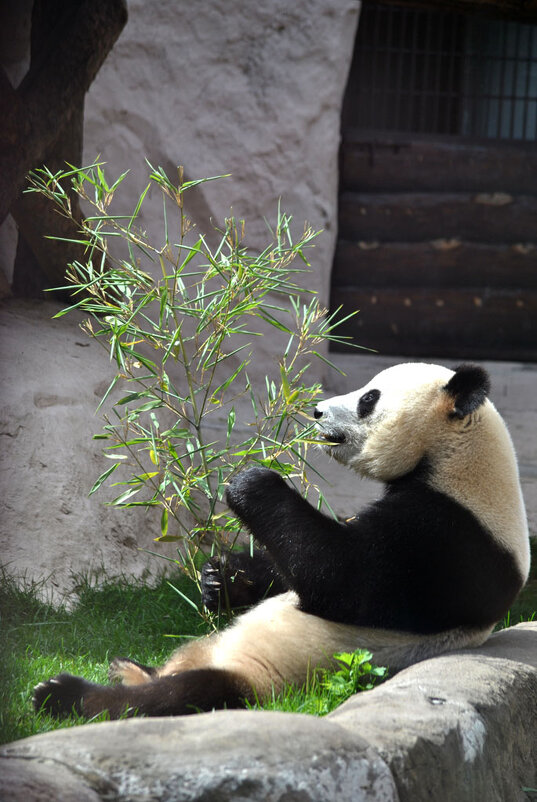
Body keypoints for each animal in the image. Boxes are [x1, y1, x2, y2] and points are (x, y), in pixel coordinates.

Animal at [32, 362, 528, 720]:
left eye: (369, 398)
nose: (317, 411)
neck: (455, 460)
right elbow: (293, 566)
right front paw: (221, 579)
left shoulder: (451, 539)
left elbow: (346, 580)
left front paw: (252, 480)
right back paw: (130, 668)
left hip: (265, 677)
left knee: (188, 694)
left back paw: (66, 694)